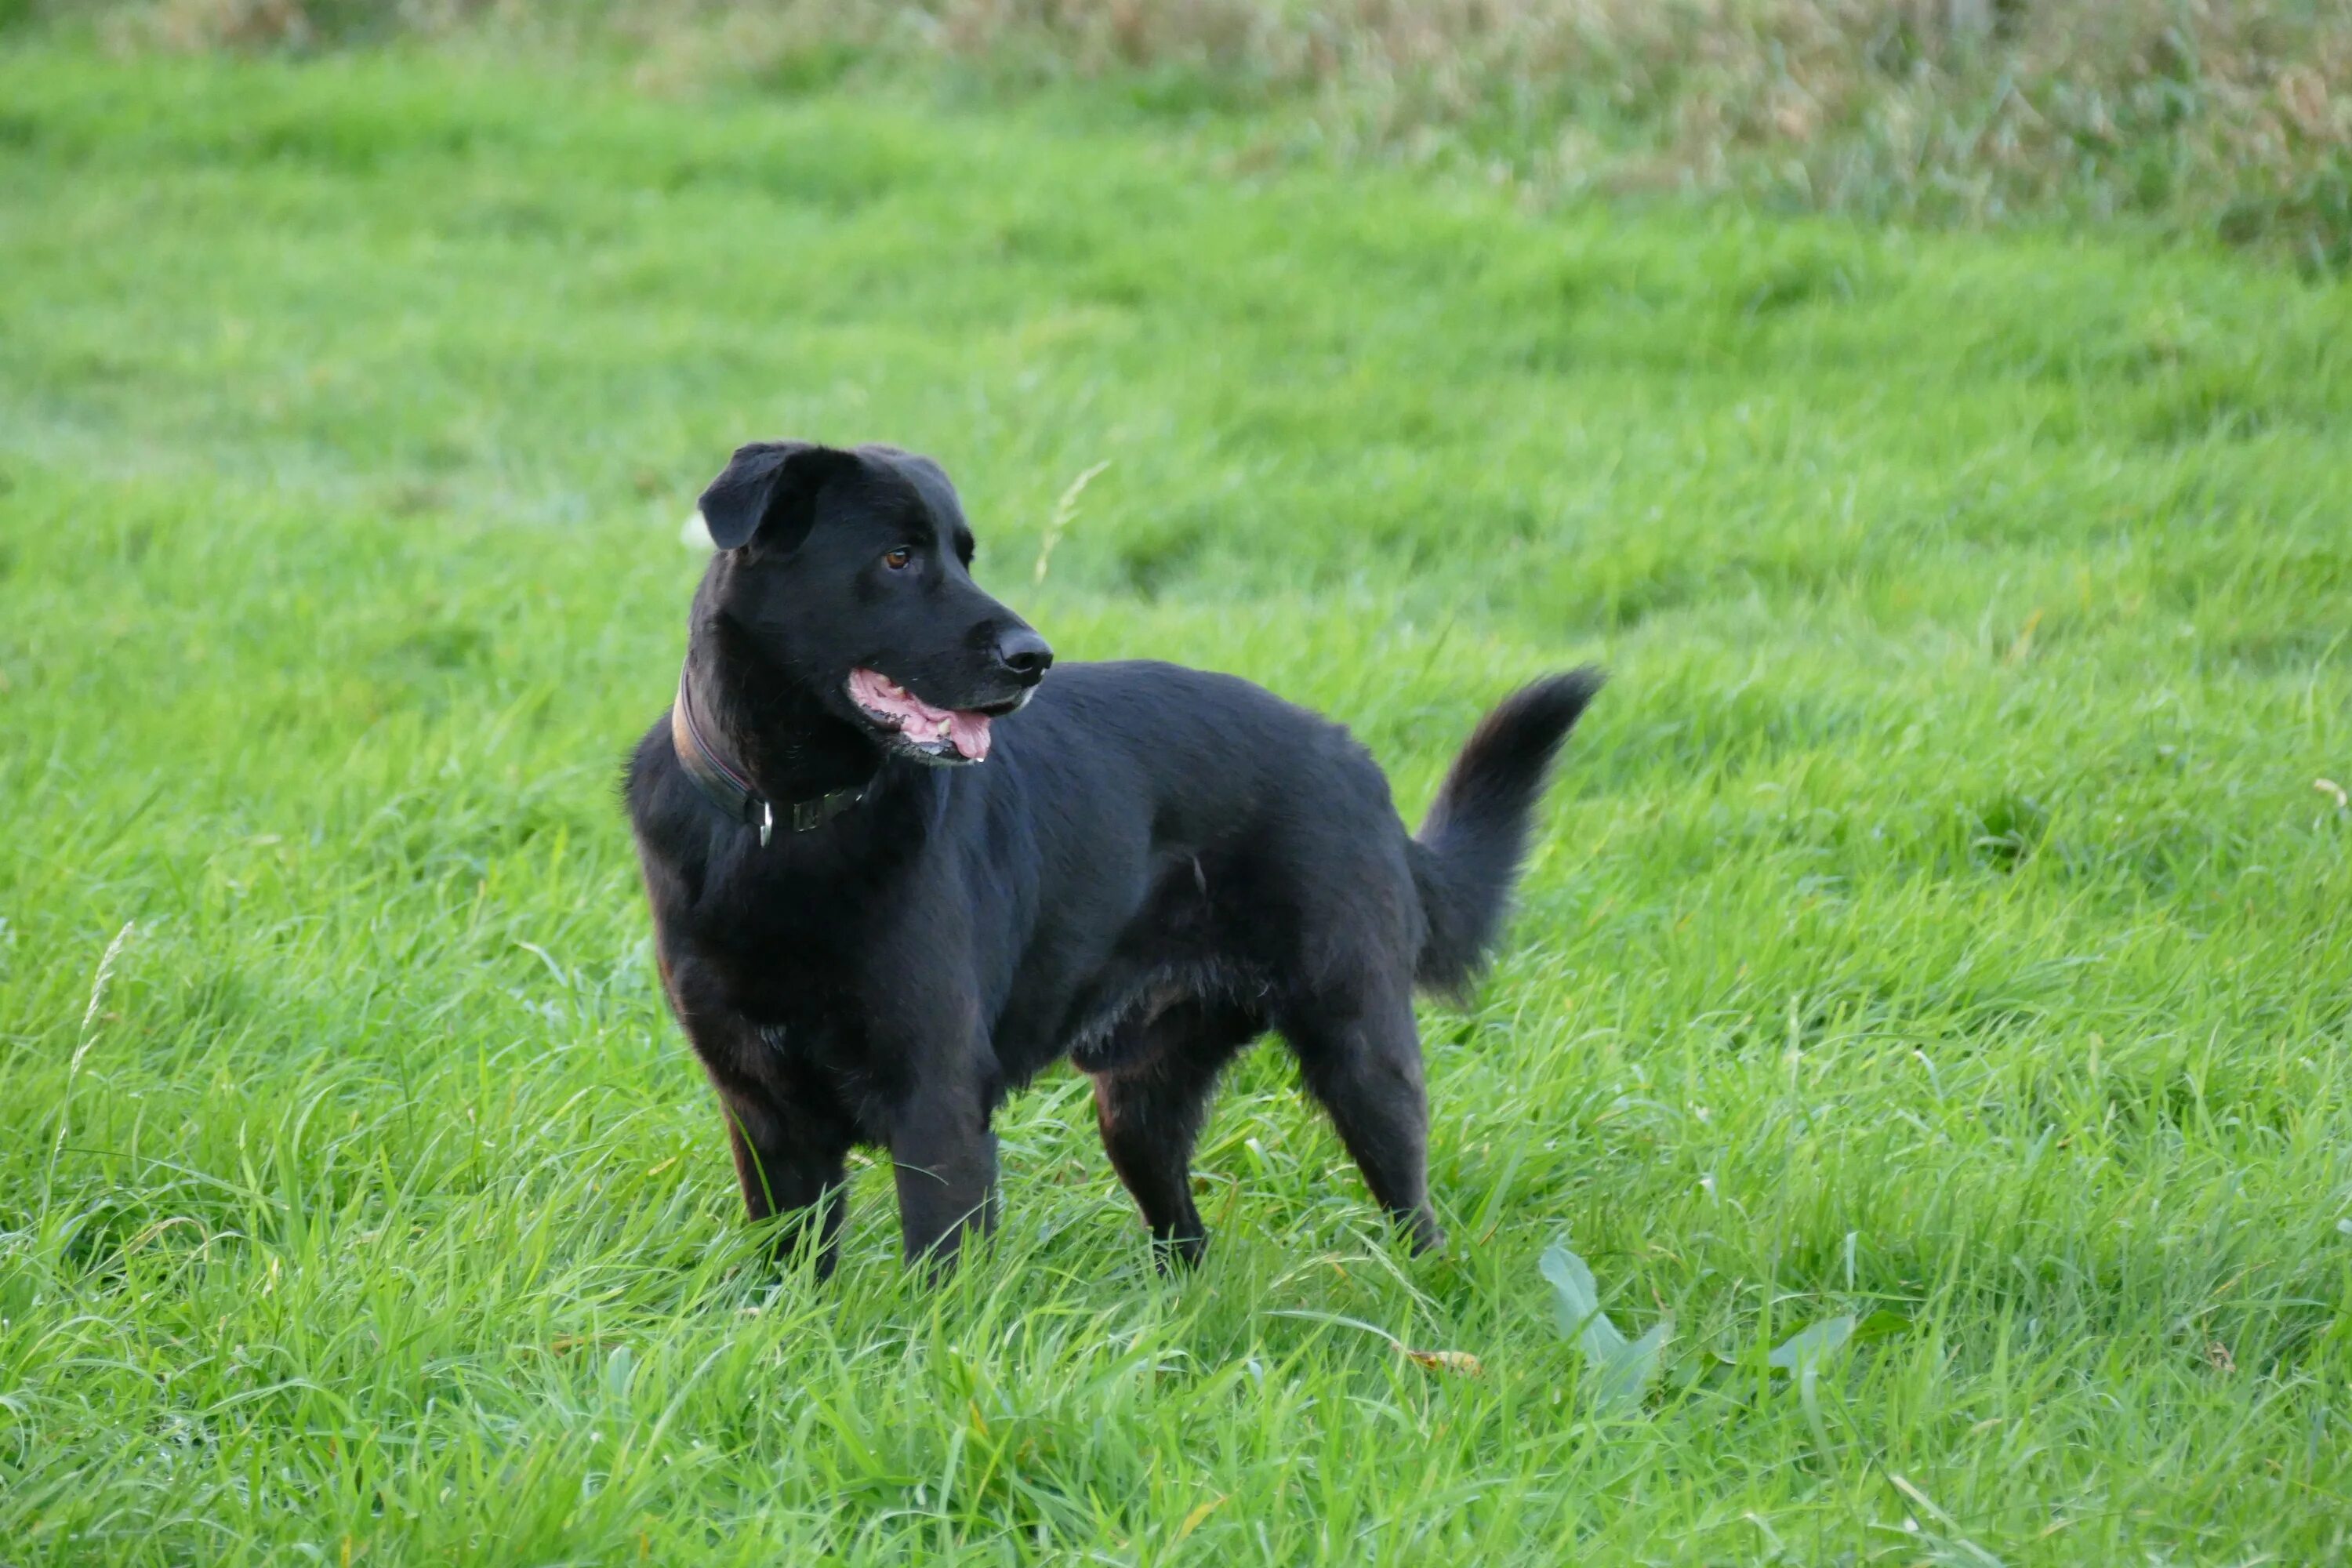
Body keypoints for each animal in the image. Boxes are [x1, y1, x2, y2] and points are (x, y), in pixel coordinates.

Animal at [626, 441, 1599, 1279]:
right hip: (1139, 1104)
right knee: (1186, 1237)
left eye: (965, 556)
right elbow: (792, 1277)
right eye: (898, 558)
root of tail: (1357, 761)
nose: (1034, 659)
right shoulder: (766, 1116)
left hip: (1361, 1053)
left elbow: (938, 1283)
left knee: (1414, 1211)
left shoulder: (938, 1107)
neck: (784, 818)